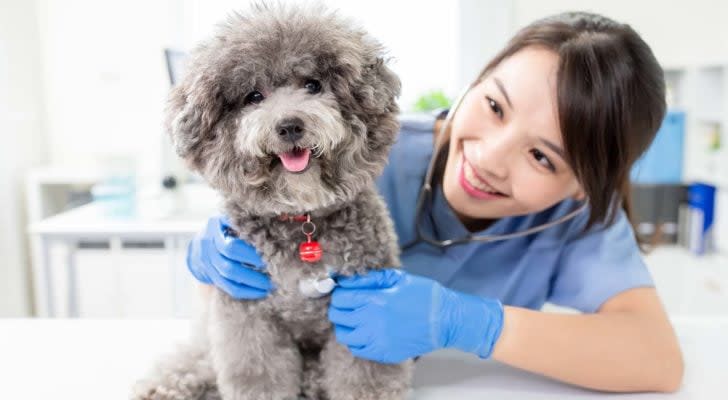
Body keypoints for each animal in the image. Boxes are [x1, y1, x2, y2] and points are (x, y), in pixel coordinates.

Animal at [133, 3, 412, 400]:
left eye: (313, 85)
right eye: (253, 96)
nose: (290, 125)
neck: (301, 217)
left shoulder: (363, 310)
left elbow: (365, 374)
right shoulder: (247, 315)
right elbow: (257, 372)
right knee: (194, 358)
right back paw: (162, 386)